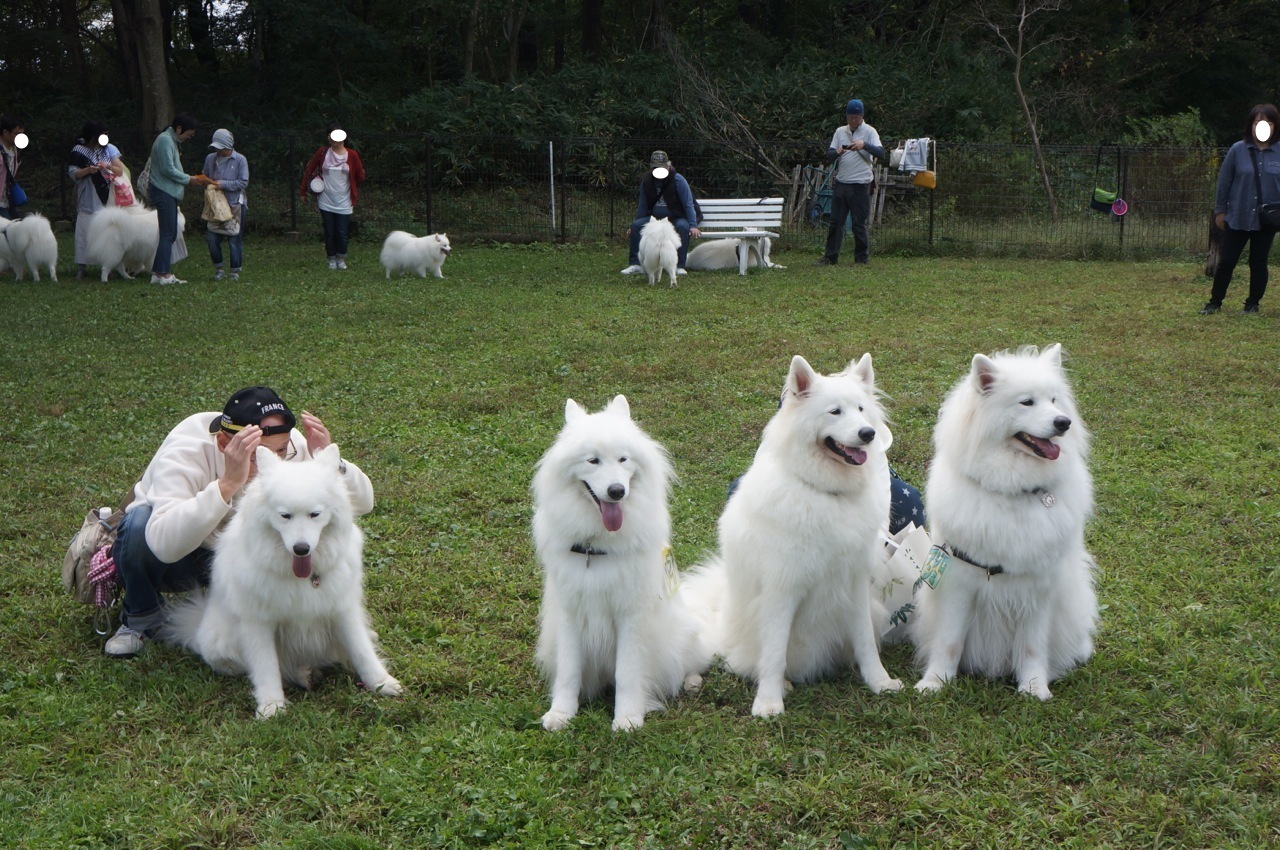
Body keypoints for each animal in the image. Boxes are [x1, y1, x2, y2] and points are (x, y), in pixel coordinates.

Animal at [166, 445, 399, 716]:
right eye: (285, 516)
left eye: (314, 514)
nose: (301, 549)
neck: (303, 578)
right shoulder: (258, 621)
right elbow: (266, 666)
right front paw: (271, 705)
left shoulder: (341, 609)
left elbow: (361, 650)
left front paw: (381, 682)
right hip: (220, 644)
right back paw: (303, 674)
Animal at [529, 394, 711, 732]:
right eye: (593, 461)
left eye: (623, 460)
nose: (617, 491)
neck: (596, 546)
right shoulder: (570, 613)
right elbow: (569, 671)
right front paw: (561, 713)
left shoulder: (630, 616)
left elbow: (627, 672)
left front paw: (627, 718)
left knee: (692, 661)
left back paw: (691, 681)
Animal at [686, 353, 906, 716]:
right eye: (835, 411)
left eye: (861, 409)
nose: (868, 433)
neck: (826, 493)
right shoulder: (782, 590)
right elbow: (775, 653)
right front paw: (769, 703)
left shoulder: (855, 585)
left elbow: (865, 643)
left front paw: (880, 682)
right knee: (743, 662)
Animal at [911, 343, 1100, 701]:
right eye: (1026, 402)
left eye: (1054, 400)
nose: (1064, 422)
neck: (1013, 490)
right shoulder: (960, 581)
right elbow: (949, 640)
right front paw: (935, 682)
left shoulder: (1039, 588)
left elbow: (1032, 646)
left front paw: (1034, 687)